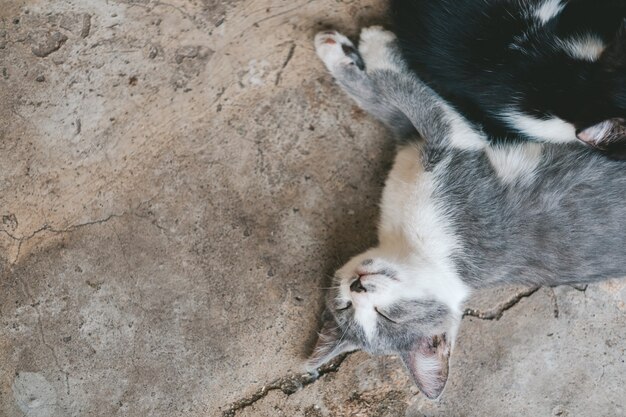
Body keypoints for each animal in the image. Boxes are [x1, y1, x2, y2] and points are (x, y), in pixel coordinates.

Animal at [308, 26, 624, 400]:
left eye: (388, 316)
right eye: (348, 307)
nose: (357, 286)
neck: (408, 246)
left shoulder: (439, 148)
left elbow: (396, 97)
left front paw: (359, 50)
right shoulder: (435, 148)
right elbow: (396, 99)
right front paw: (356, 52)